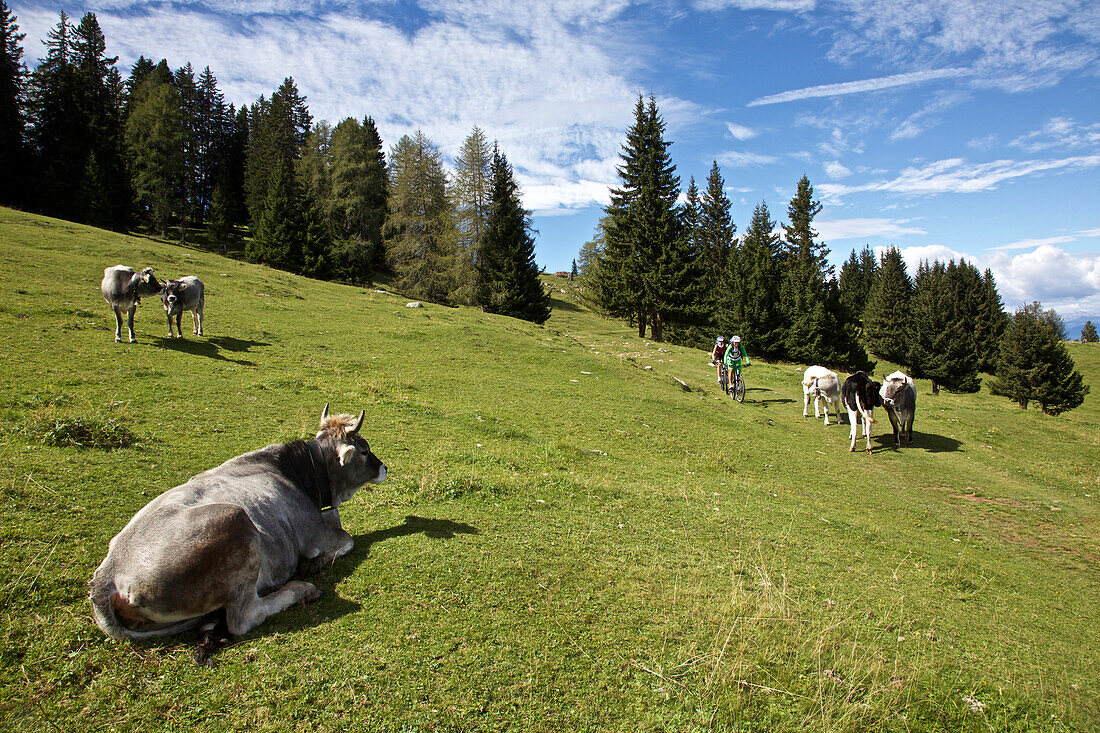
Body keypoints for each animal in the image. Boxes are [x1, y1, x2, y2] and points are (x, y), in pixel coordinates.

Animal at [91, 405, 391, 647]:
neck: (294, 473)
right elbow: (347, 540)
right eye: (364, 450)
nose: (384, 467)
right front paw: (315, 564)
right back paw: (301, 589)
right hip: (235, 521)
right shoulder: (313, 535)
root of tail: (107, 578)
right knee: (244, 617)